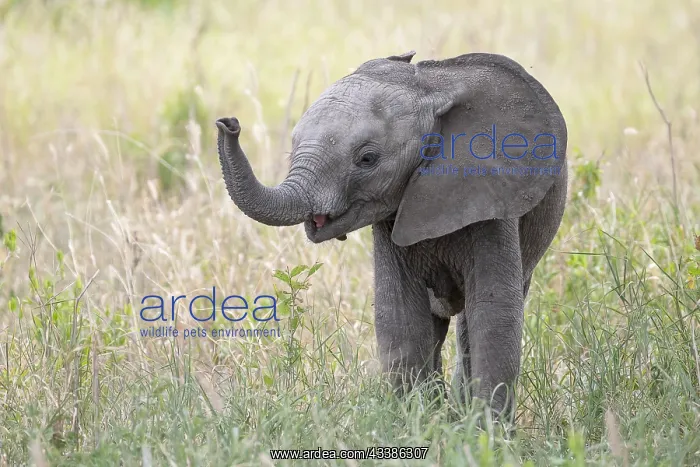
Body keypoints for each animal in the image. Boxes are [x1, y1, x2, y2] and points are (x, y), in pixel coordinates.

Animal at [215, 51, 567, 423]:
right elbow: (400, 315)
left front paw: (485, 433)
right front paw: (422, 424)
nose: (228, 123)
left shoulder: (493, 198)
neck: (430, 91)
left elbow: (493, 316)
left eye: (367, 159)